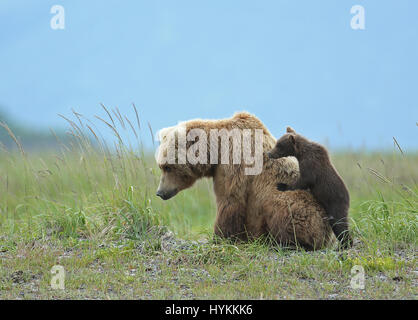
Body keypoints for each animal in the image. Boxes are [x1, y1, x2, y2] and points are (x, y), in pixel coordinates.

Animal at [154, 112, 334, 250]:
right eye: (161, 166)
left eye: (167, 167)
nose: (160, 192)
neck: (216, 151)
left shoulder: (234, 163)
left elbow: (230, 200)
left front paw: (220, 237)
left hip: (295, 202)